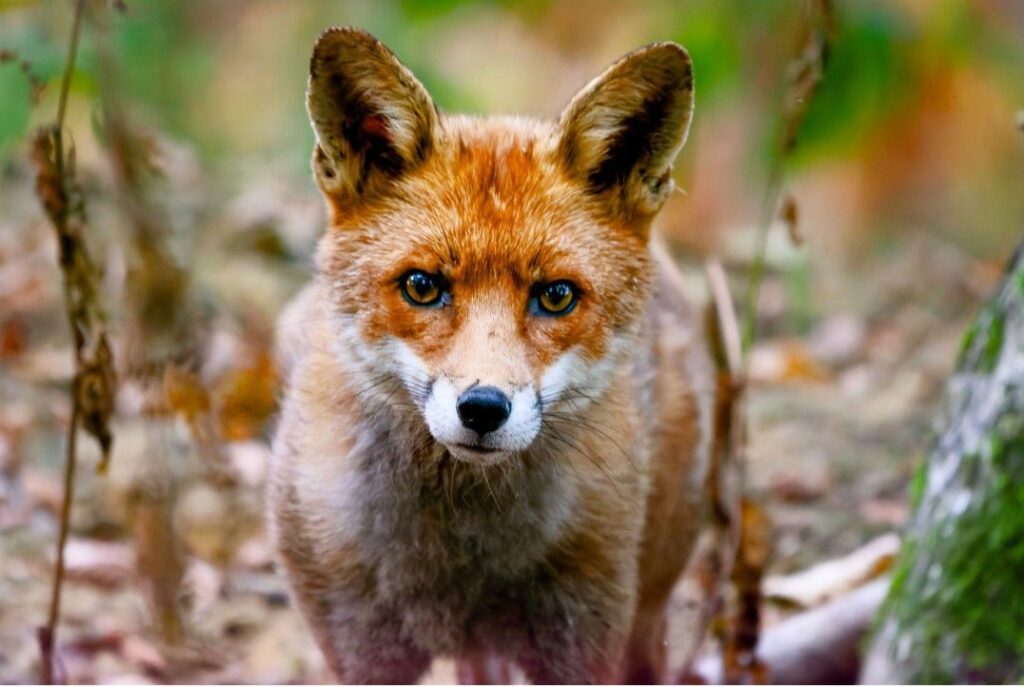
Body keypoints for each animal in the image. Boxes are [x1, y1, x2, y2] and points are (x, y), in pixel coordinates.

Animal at [269, 26, 713, 684]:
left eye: (555, 296)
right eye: (421, 286)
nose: (482, 408)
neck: (456, 559)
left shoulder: (582, 634)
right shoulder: (359, 646)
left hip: (643, 608)